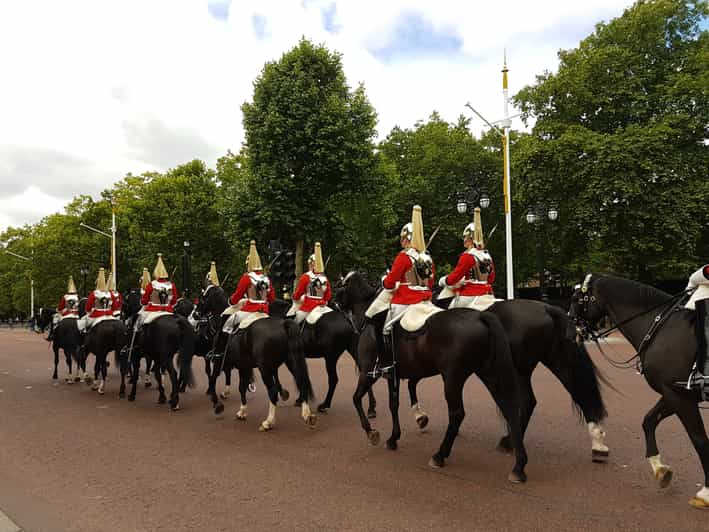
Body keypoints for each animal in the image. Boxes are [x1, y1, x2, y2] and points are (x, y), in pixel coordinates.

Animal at [336, 270, 524, 482]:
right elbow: (394, 404)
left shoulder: (368, 373)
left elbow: (356, 398)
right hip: (488, 372)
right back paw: (519, 465)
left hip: (452, 379)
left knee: (457, 414)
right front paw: (394, 437)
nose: (334, 303)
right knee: (508, 406)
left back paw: (440, 455)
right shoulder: (394, 375)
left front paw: (372, 433)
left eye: (339, 285)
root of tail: (481, 316)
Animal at [568, 272, 708, 510]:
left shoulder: (681, 396)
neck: (660, 327)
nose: (569, 332)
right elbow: (649, 421)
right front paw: (660, 470)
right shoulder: (673, 393)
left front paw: (705, 492)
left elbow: (699, 441)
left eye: (577, 297)